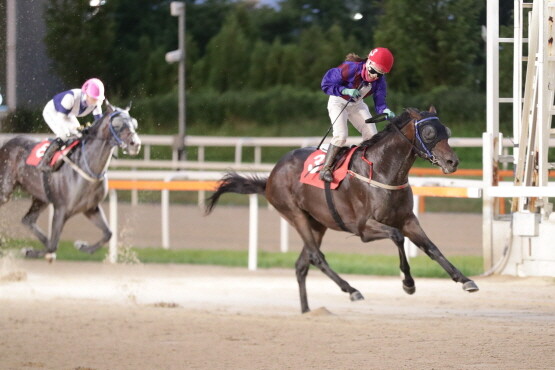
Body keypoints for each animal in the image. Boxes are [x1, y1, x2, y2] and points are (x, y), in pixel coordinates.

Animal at [0, 101, 141, 260]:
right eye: (117, 125)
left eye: (134, 123)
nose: (135, 144)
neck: (87, 166)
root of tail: (7, 143)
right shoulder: (61, 210)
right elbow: (53, 246)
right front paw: (29, 251)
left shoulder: (91, 208)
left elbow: (108, 233)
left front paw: (82, 246)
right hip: (5, 190)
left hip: (41, 197)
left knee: (27, 220)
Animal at [206, 106, 480, 312]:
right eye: (430, 132)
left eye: (447, 131)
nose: (452, 162)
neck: (383, 170)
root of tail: (271, 177)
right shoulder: (364, 228)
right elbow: (397, 237)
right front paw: (409, 283)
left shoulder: (407, 219)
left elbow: (431, 247)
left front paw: (465, 280)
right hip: (295, 215)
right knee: (317, 257)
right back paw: (352, 290)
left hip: (317, 223)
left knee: (302, 263)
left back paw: (307, 310)